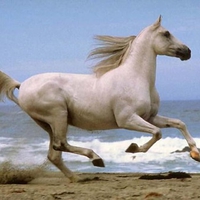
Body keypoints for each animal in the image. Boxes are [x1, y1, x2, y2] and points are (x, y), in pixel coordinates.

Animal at [0, 16, 200, 182]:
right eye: (166, 33)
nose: (187, 51)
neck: (136, 78)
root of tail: (22, 85)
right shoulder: (127, 119)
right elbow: (157, 133)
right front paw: (133, 148)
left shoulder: (149, 117)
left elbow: (179, 123)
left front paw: (195, 153)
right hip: (58, 116)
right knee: (60, 144)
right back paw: (95, 159)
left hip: (47, 124)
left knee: (54, 154)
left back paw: (77, 177)